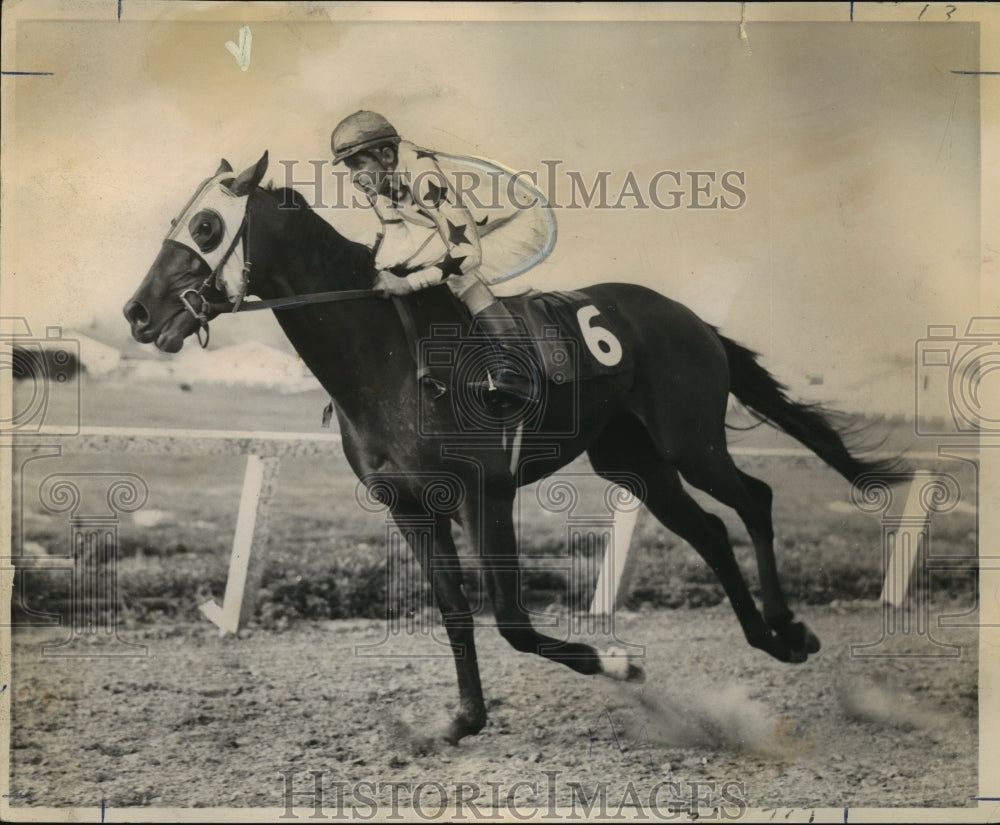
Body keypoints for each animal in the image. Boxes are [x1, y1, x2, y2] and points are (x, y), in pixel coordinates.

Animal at [123, 153, 900, 740]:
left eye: (205, 224)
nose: (137, 313)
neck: (387, 361)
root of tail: (692, 319)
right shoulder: (408, 505)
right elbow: (454, 608)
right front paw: (464, 718)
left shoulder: (483, 491)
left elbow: (516, 623)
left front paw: (620, 664)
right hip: (634, 460)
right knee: (708, 529)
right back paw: (768, 637)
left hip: (690, 441)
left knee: (755, 499)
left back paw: (789, 628)